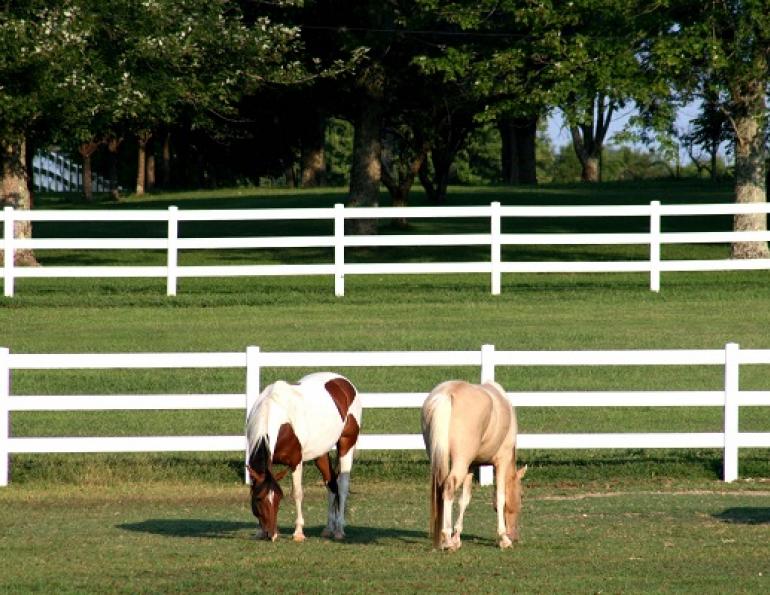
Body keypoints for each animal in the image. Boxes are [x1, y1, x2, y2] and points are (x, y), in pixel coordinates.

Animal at [244, 372, 362, 544]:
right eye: (258, 499)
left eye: (279, 499)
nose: (271, 534)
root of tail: (344, 382)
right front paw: (259, 531)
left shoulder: (296, 462)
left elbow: (297, 493)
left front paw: (298, 532)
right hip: (321, 453)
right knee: (331, 484)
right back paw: (328, 529)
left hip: (346, 445)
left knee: (342, 487)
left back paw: (339, 530)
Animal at [416, 380, 524, 552]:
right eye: (522, 495)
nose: (515, 536)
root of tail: (448, 393)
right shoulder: (502, 461)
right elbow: (500, 498)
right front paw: (504, 539)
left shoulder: (471, 467)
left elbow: (464, 500)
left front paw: (457, 538)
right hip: (460, 463)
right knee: (448, 488)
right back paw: (446, 538)